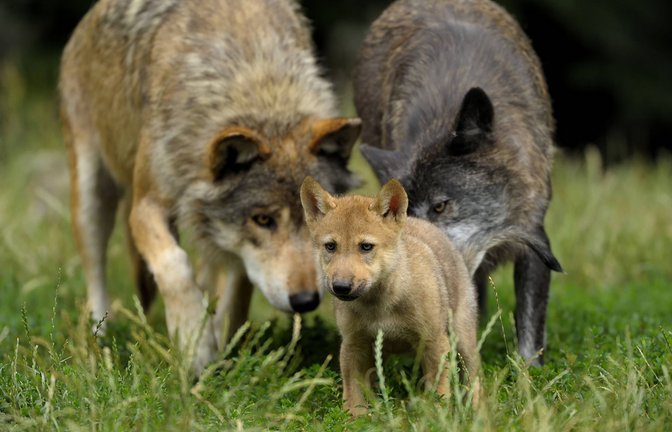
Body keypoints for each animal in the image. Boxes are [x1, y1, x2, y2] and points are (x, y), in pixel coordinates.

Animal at [59, 0, 361, 372]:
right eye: (263, 220)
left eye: (315, 224)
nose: (305, 300)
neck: (259, 87)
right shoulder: (146, 207)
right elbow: (174, 264)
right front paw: (194, 344)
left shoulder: (233, 241)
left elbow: (234, 297)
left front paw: (220, 350)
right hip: (92, 200)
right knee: (96, 278)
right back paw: (99, 340)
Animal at [301, 176, 480, 415]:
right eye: (330, 246)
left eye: (366, 247)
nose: (341, 287)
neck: (379, 307)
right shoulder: (353, 345)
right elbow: (353, 397)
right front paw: (356, 419)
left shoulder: (434, 342)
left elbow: (439, 392)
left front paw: (436, 416)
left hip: (463, 338)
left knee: (474, 378)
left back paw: (476, 411)